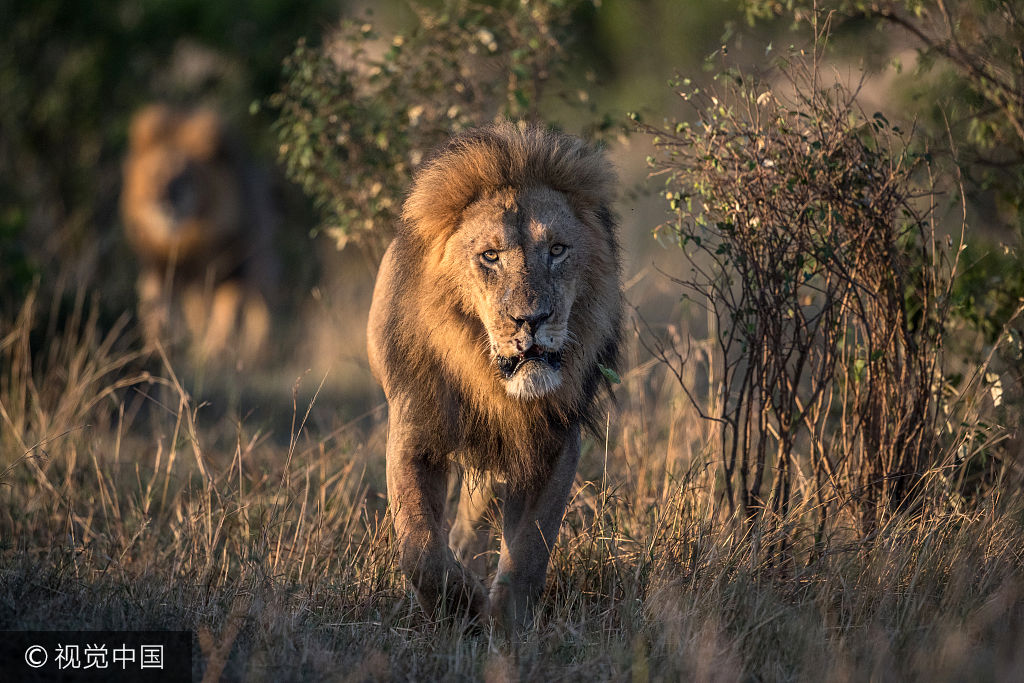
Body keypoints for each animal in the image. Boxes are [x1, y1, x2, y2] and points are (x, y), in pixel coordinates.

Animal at [120, 103, 278, 360]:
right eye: (154, 175)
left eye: (183, 178)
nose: (158, 203)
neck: (188, 239)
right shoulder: (160, 269)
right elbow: (158, 310)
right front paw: (155, 350)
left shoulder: (235, 268)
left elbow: (227, 312)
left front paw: (215, 352)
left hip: (260, 263)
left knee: (261, 308)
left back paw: (260, 352)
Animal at [370, 121, 622, 630]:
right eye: (490, 256)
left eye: (558, 250)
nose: (532, 319)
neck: (493, 384)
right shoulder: (413, 432)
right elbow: (419, 547)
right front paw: (459, 606)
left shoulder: (554, 443)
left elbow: (530, 548)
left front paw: (506, 623)